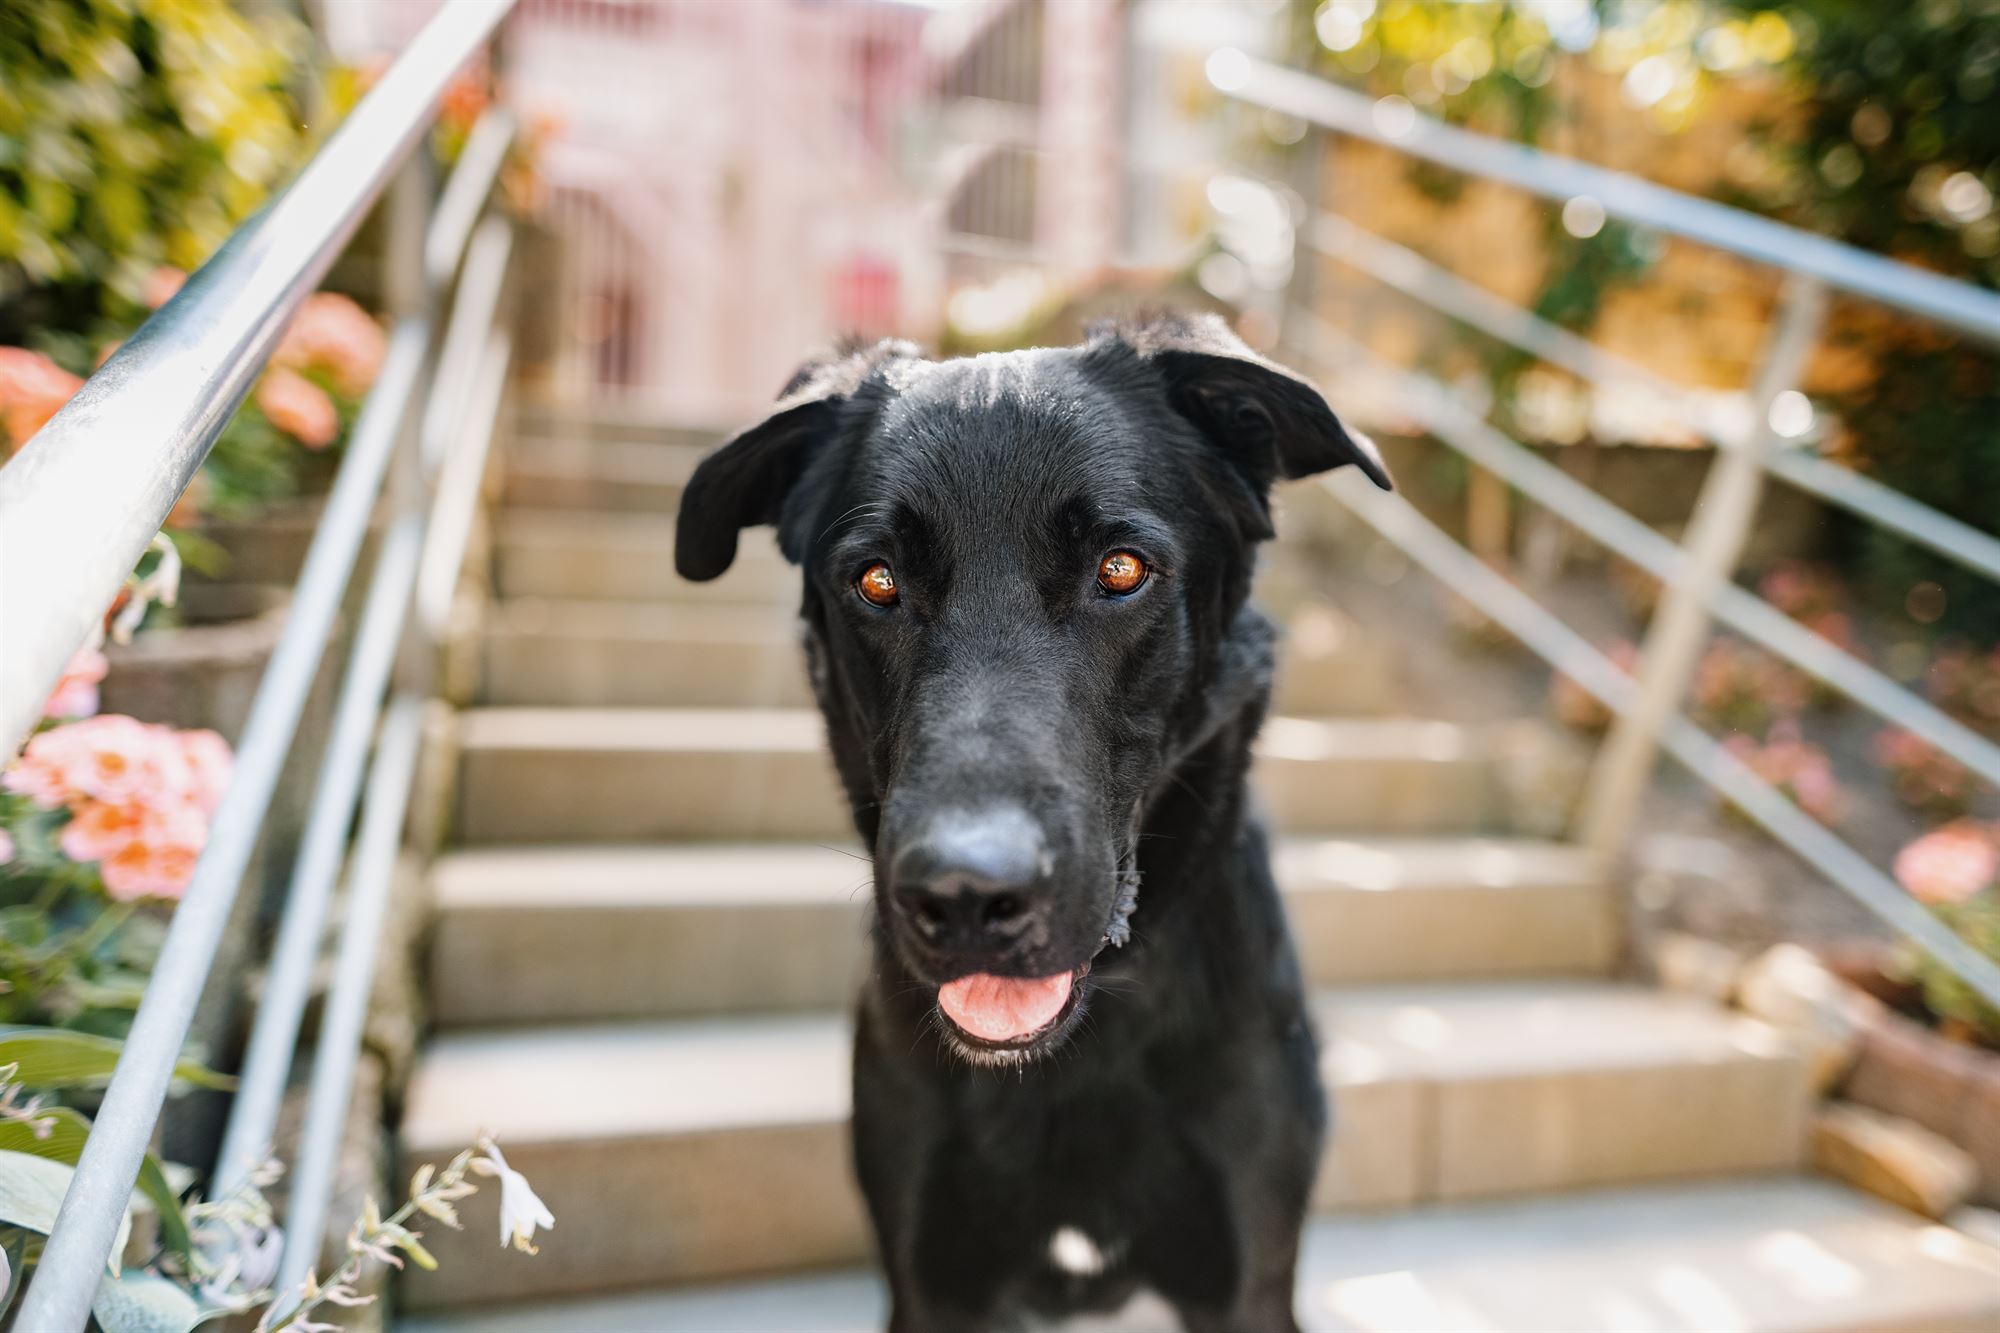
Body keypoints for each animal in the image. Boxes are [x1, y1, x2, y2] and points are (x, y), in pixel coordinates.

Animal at [672, 314, 1392, 1328]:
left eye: (1121, 570)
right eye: (877, 582)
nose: (967, 896)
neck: (1072, 1058)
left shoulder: (1249, 1277)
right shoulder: (931, 1280)